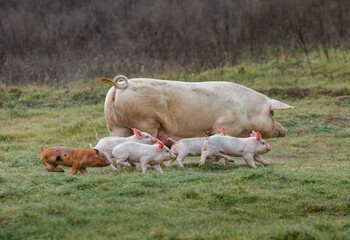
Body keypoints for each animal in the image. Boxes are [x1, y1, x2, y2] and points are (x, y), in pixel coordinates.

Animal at [98, 75, 292, 145]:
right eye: (272, 113)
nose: (285, 130)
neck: (248, 111)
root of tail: (118, 87)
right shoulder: (226, 124)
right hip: (145, 121)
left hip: (114, 124)